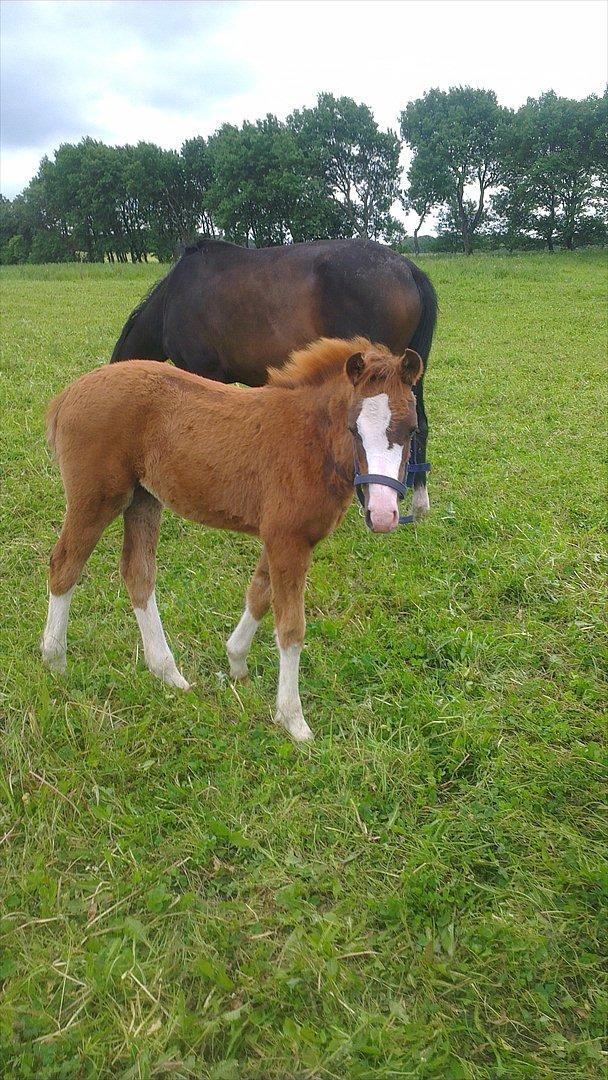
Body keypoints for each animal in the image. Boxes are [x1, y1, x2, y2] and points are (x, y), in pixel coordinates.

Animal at [42, 336, 423, 743]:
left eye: (412, 429)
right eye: (354, 428)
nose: (382, 514)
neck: (310, 439)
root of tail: (70, 392)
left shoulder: (280, 537)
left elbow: (259, 594)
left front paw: (236, 661)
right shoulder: (288, 540)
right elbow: (291, 626)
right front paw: (293, 719)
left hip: (143, 498)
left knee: (137, 573)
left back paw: (168, 673)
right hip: (97, 499)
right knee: (65, 565)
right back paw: (55, 662)